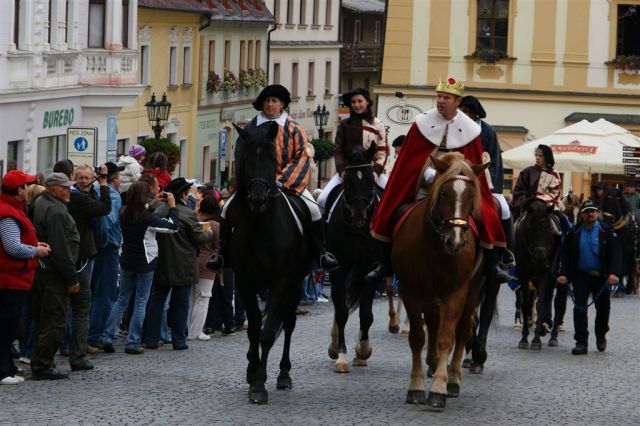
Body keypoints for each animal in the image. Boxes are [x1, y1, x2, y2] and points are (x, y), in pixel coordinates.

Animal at [226, 121, 314, 404]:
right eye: (244, 158)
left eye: (273, 159)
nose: (257, 198)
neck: (261, 228)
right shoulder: (245, 281)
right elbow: (254, 328)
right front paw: (253, 371)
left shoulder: (282, 281)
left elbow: (267, 333)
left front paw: (259, 385)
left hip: (296, 284)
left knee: (288, 324)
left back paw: (284, 374)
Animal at [392, 151, 488, 412]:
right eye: (444, 193)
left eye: (471, 195)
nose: (455, 242)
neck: (436, 249)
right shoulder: (411, 290)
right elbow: (418, 337)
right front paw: (416, 387)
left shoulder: (457, 292)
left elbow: (447, 337)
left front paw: (439, 389)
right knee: (433, 323)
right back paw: (433, 363)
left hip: (473, 291)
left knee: (463, 330)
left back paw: (453, 379)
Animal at [516, 200, 560, 350]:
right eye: (531, 228)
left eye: (549, 229)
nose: (540, 257)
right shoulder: (523, 274)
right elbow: (525, 304)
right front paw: (524, 338)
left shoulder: (545, 274)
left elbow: (541, 304)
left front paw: (536, 340)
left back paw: (552, 333)